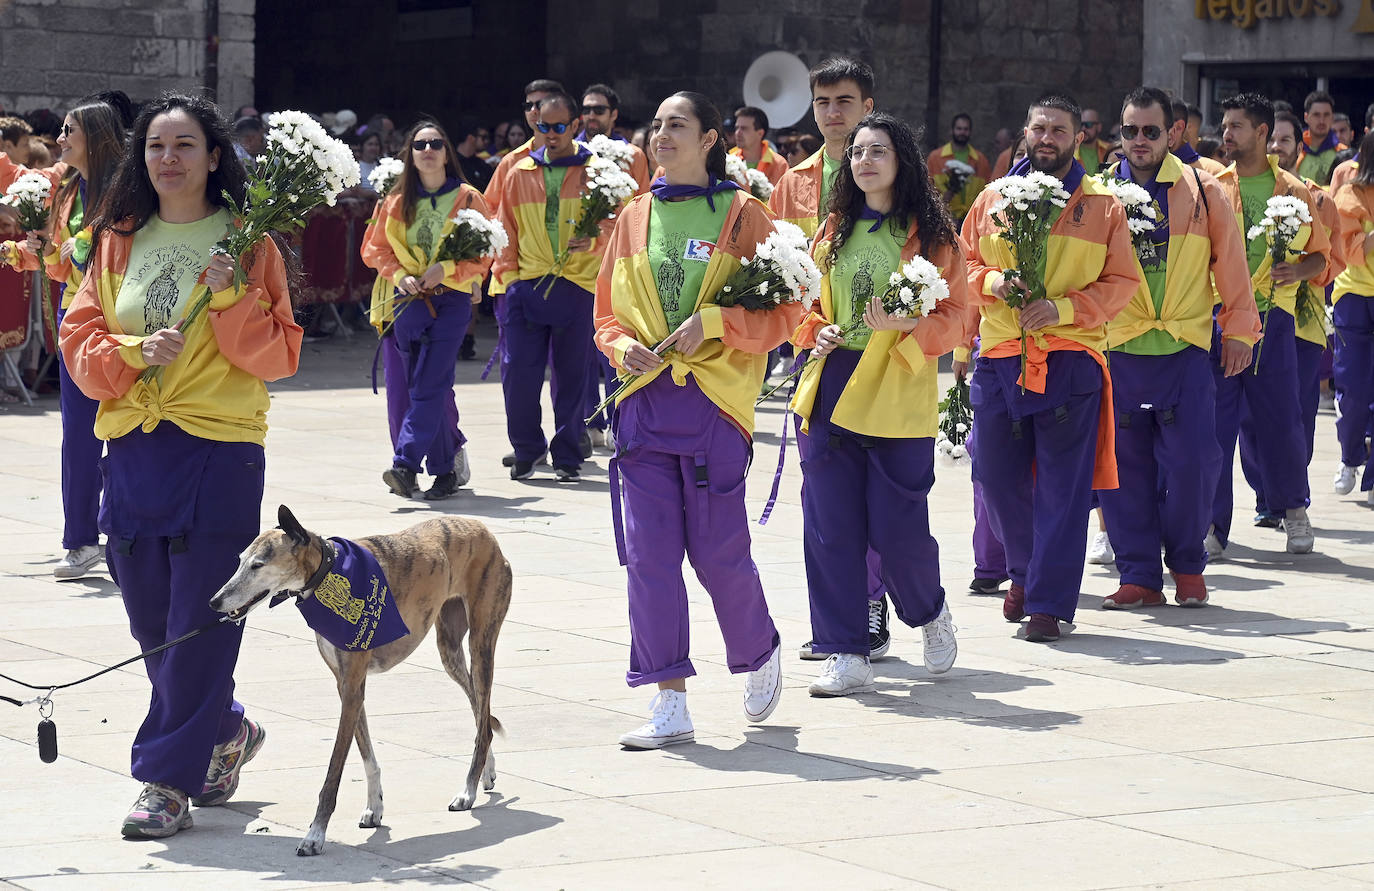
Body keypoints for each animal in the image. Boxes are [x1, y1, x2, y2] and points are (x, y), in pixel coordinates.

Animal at [211, 506, 513, 852]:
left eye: (258, 565)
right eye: (239, 561)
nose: (214, 602)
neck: (327, 571)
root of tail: (483, 529)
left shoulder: (352, 686)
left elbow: (332, 774)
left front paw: (315, 835)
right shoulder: (349, 687)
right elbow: (368, 755)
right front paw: (375, 808)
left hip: (481, 645)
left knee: (482, 711)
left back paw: (468, 791)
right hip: (450, 650)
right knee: (481, 716)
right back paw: (485, 773)